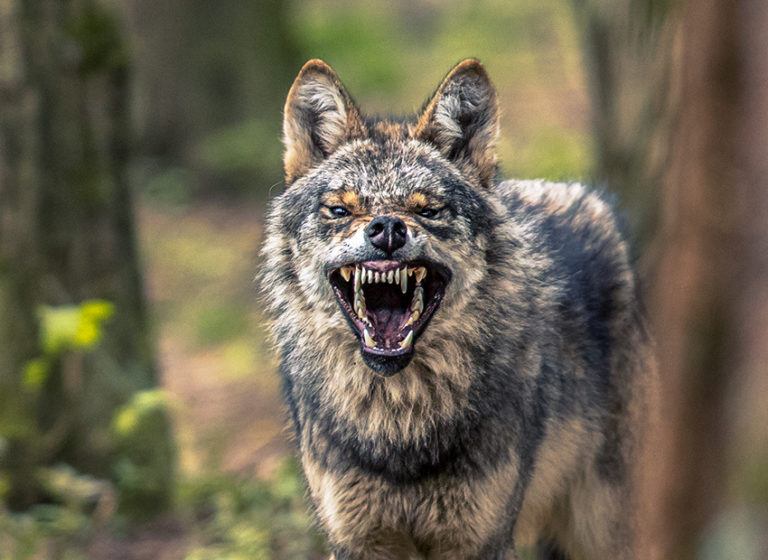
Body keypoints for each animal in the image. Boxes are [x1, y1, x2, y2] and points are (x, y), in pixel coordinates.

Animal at [261, 58, 650, 559]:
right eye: (340, 210)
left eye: (428, 211)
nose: (387, 229)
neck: (399, 426)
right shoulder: (358, 540)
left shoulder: (477, 539)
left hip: (606, 525)